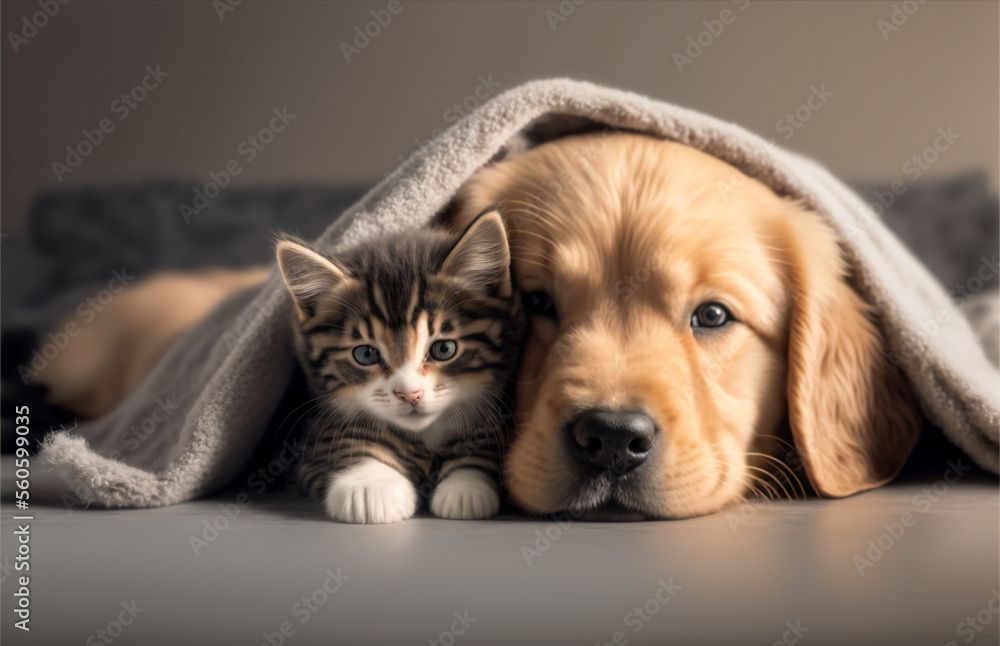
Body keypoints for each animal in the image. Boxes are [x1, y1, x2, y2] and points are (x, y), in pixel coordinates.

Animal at [276, 213, 524, 528]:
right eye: (366, 354)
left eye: (444, 349)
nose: (410, 394)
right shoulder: (311, 446)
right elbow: (347, 440)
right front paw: (370, 485)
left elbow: (483, 442)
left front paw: (467, 484)